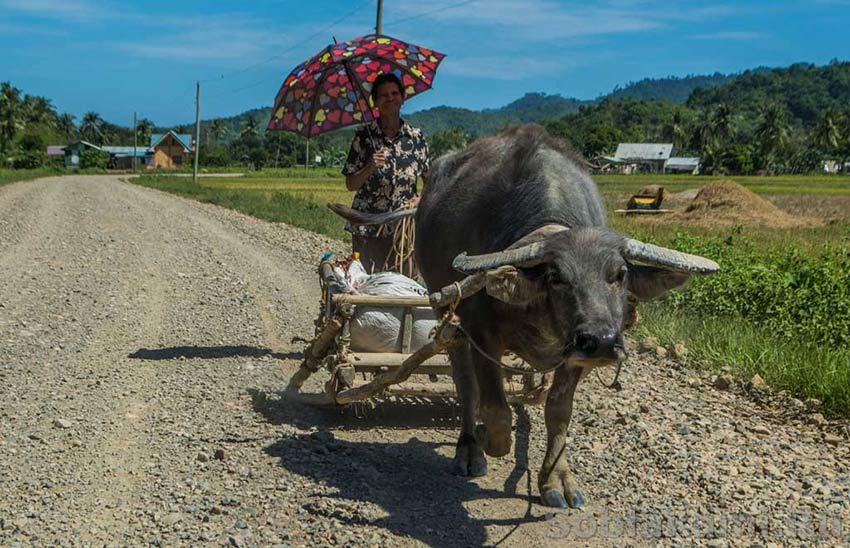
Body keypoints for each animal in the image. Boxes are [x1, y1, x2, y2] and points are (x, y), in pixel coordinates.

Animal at [410, 124, 716, 510]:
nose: (601, 341)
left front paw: (556, 480)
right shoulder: (480, 332)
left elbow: (558, 411)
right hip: (446, 311)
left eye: (619, 275)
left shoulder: (573, 356)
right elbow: (495, 408)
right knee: (465, 382)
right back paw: (468, 449)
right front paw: (486, 437)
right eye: (556, 277)